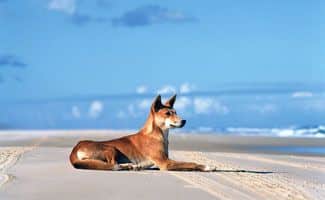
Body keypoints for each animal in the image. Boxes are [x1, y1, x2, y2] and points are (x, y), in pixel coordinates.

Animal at [69, 94, 215, 171]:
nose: (184, 121)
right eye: (167, 114)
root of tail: (74, 149)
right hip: (110, 148)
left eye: (175, 112)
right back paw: (128, 165)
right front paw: (207, 166)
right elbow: (190, 163)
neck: (157, 134)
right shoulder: (165, 163)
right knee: (112, 165)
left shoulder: (162, 162)